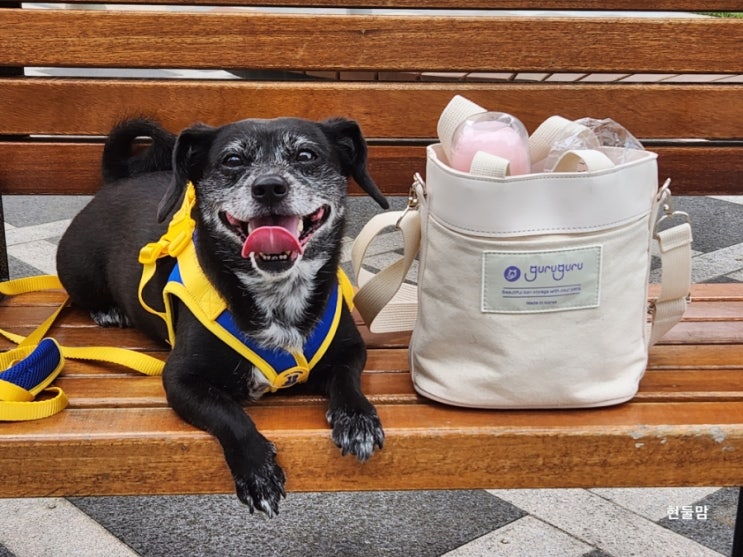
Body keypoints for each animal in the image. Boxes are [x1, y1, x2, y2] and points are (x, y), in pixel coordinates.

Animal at [58, 117, 390, 516]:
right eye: (232, 160)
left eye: (306, 155)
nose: (269, 187)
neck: (277, 294)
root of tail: (114, 182)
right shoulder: (180, 379)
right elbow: (229, 413)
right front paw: (257, 471)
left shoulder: (350, 351)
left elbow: (347, 381)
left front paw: (357, 419)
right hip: (80, 272)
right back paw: (109, 310)